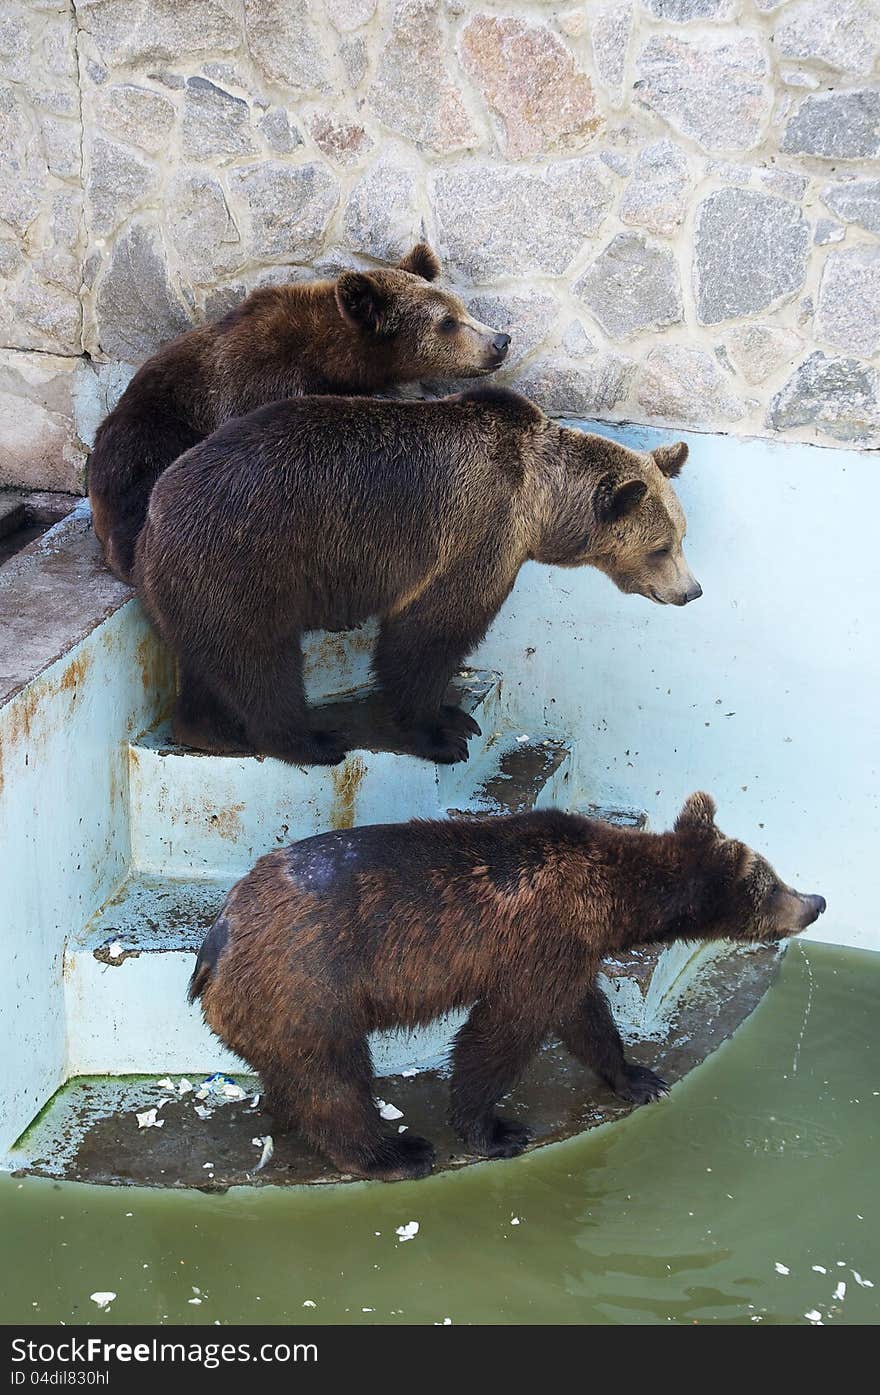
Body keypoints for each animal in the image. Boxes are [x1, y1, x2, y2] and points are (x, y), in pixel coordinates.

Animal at [88, 242, 510, 580]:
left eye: (461, 309)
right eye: (448, 322)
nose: (500, 340)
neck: (332, 359)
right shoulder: (257, 385)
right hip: (145, 440)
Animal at [135, 387, 702, 770]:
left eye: (681, 536)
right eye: (661, 547)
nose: (690, 591)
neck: (540, 502)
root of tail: (154, 512)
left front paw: (456, 715)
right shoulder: (477, 533)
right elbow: (429, 634)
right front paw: (439, 735)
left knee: (211, 655)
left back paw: (208, 731)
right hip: (247, 559)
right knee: (260, 658)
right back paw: (310, 740)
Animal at [189, 797, 831, 1177]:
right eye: (772, 883)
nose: (817, 901)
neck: (616, 901)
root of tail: (217, 939)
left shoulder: (571, 953)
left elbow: (585, 1015)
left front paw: (639, 1076)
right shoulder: (543, 940)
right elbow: (504, 1031)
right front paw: (495, 1129)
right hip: (308, 988)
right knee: (332, 1077)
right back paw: (394, 1152)